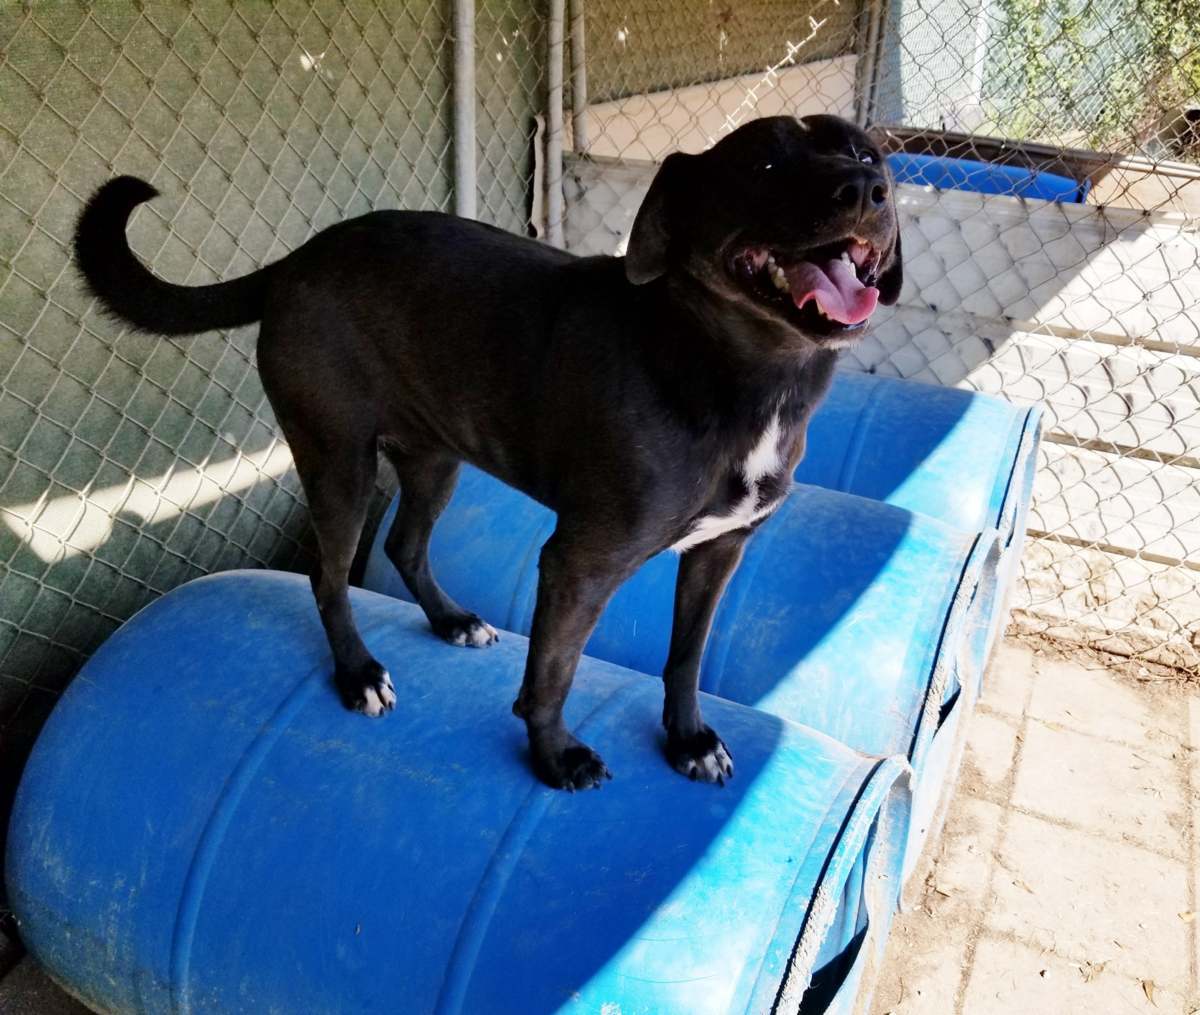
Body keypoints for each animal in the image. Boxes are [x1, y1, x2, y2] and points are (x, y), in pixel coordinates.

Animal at [75, 113, 902, 796]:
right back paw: (357, 673)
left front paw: (689, 739)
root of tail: (294, 260)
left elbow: (687, 655)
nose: (867, 189)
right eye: (763, 164)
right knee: (328, 573)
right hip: (338, 459)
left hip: (434, 458)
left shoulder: (720, 551)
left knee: (404, 545)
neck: (743, 374)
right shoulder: (580, 562)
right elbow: (553, 673)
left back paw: (450, 621)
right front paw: (555, 755)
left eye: (869, 153)